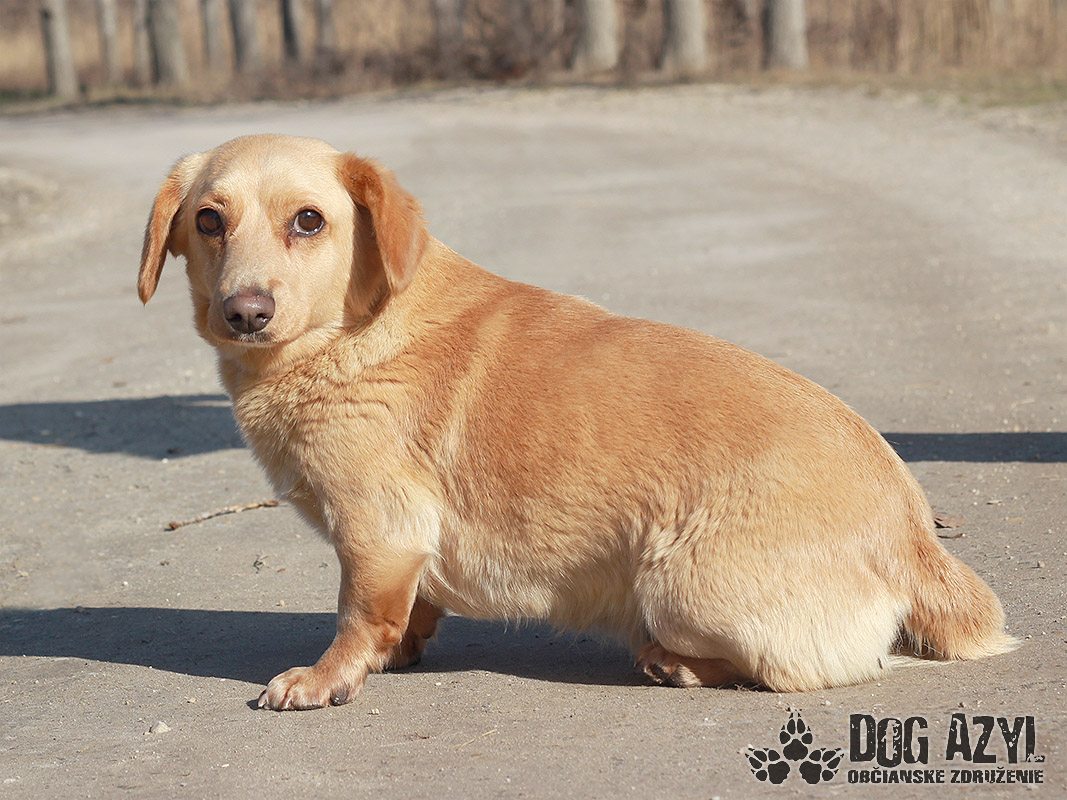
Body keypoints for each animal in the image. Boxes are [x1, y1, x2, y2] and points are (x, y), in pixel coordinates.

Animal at [138, 134, 1014, 710]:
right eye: (209, 220)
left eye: (309, 221)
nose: (243, 312)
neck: (351, 332)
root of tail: (913, 534)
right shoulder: (402, 548)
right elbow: (410, 611)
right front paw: (402, 651)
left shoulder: (375, 530)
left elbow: (360, 617)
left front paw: (326, 679)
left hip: (675, 584)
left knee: (803, 670)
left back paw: (676, 666)